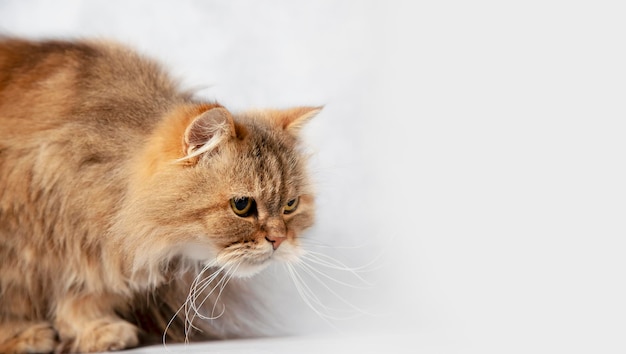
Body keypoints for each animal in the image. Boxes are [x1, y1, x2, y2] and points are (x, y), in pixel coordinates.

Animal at [0, 37, 320, 352]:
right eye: (242, 205)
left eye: (290, 205)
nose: (279, 239)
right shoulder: (23, 247)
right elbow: (15, 299)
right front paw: (21, 335)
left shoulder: (93, 251)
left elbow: (83, 294)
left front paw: (98, 331)